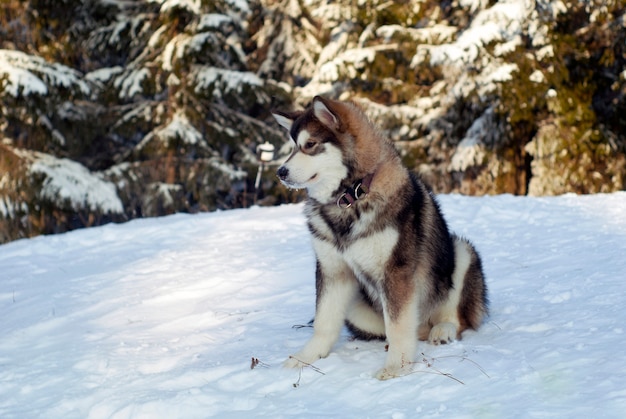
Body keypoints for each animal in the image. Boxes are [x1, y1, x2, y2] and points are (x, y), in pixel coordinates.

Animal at [272, 96, 488, 380]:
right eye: (292, 147)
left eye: (309, 145)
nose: (281, 172)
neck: (351, 197)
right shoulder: (333, 270)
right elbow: (323, 321)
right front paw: (306, 357)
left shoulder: (395, 271)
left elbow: (398, 325)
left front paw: (396, 366)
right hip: (355, 305)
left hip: (461, 252)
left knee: (456, 317)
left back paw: (444, 329)